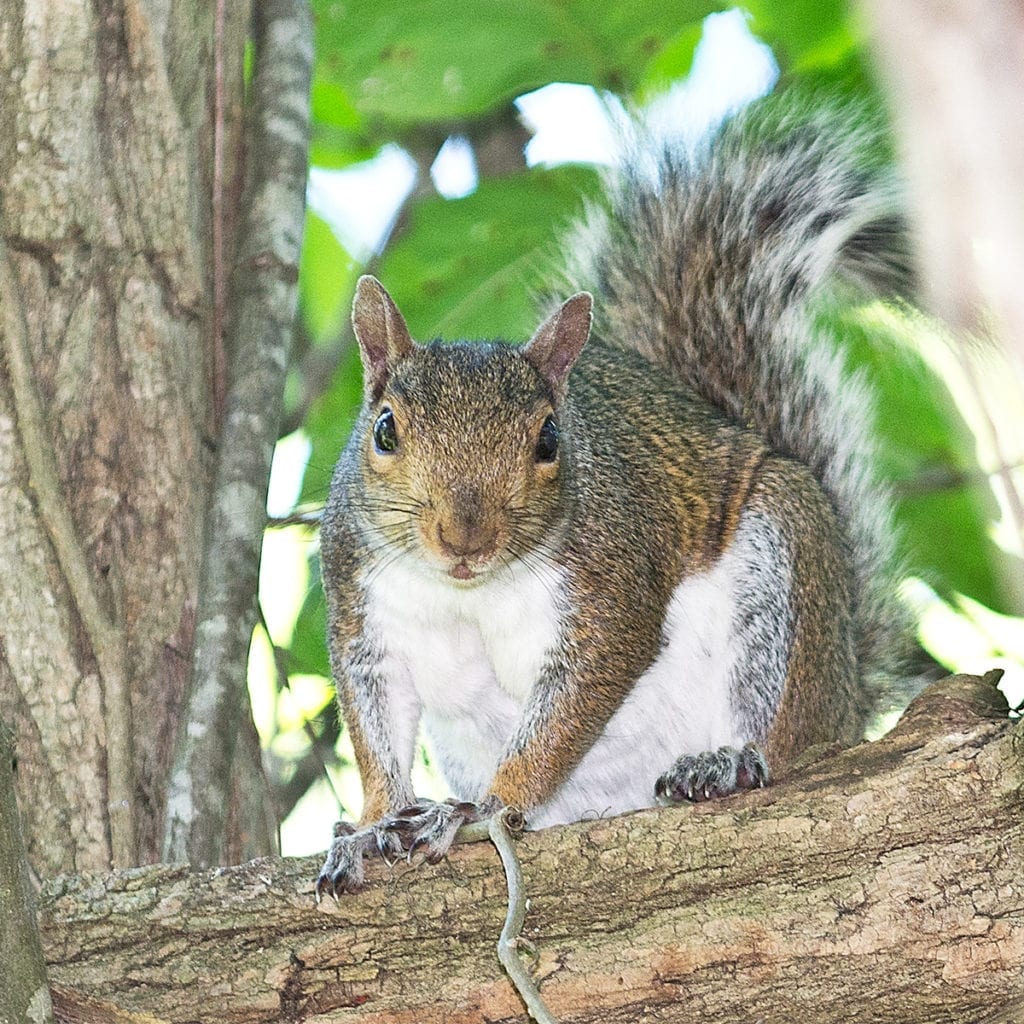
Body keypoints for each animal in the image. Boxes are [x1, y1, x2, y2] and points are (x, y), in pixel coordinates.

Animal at [315, 94, 914, 896]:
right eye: (384, 430)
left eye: (549, 440)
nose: (465, 537)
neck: (469, 591)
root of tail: (848, 691)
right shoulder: (361, 608)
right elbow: (375, 725)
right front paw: (372, 823)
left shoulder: (611, 587)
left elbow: (570, 709)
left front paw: (483, 808)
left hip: (783, 572)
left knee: (787, 735)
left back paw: (729, 762)